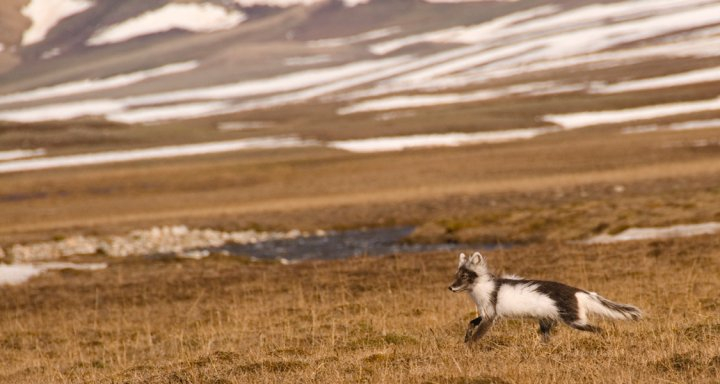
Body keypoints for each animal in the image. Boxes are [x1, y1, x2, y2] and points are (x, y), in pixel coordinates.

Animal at [450, 252, 640, 342]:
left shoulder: (491, 315)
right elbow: (471, 323)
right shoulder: (484, 312)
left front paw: (469, 348)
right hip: (546, 321)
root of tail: (578, 292)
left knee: (599, 329)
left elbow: (478, 335)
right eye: (457, 275)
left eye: (465, 276)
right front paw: (466, 338)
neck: (483, 288)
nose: (450, 287)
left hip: (574, 320)